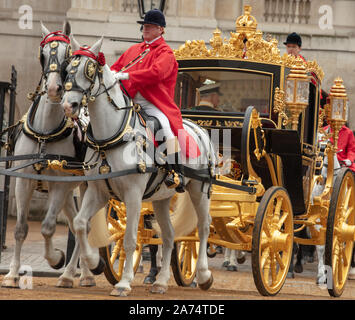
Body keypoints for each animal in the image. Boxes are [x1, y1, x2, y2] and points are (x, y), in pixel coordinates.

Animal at [0, 21, 94, 288]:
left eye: (68, 56)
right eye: (42, 56)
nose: (53, 89)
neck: (45, 132)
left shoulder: (59, 183)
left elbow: (48, 227)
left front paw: (55, 258)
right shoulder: (24, 180)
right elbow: (21, 229)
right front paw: (12, 275)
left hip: (86, 185)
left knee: (83, 226)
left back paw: (78, 273)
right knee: (75, 224)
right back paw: (73, 274)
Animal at [62, 37, 216, 298]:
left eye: (89, 70)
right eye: (68, 69)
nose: (67, 105)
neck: (111, 137)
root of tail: (199, 129)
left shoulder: (133, 195)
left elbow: (130, 238)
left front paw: (123, 283)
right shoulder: (98, 191)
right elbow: (82, 225)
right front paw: (94, 263)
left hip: (199, 190)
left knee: (204, 227)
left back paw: (204, 275)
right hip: (162, 199)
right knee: (169, 234)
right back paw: (161, 282)